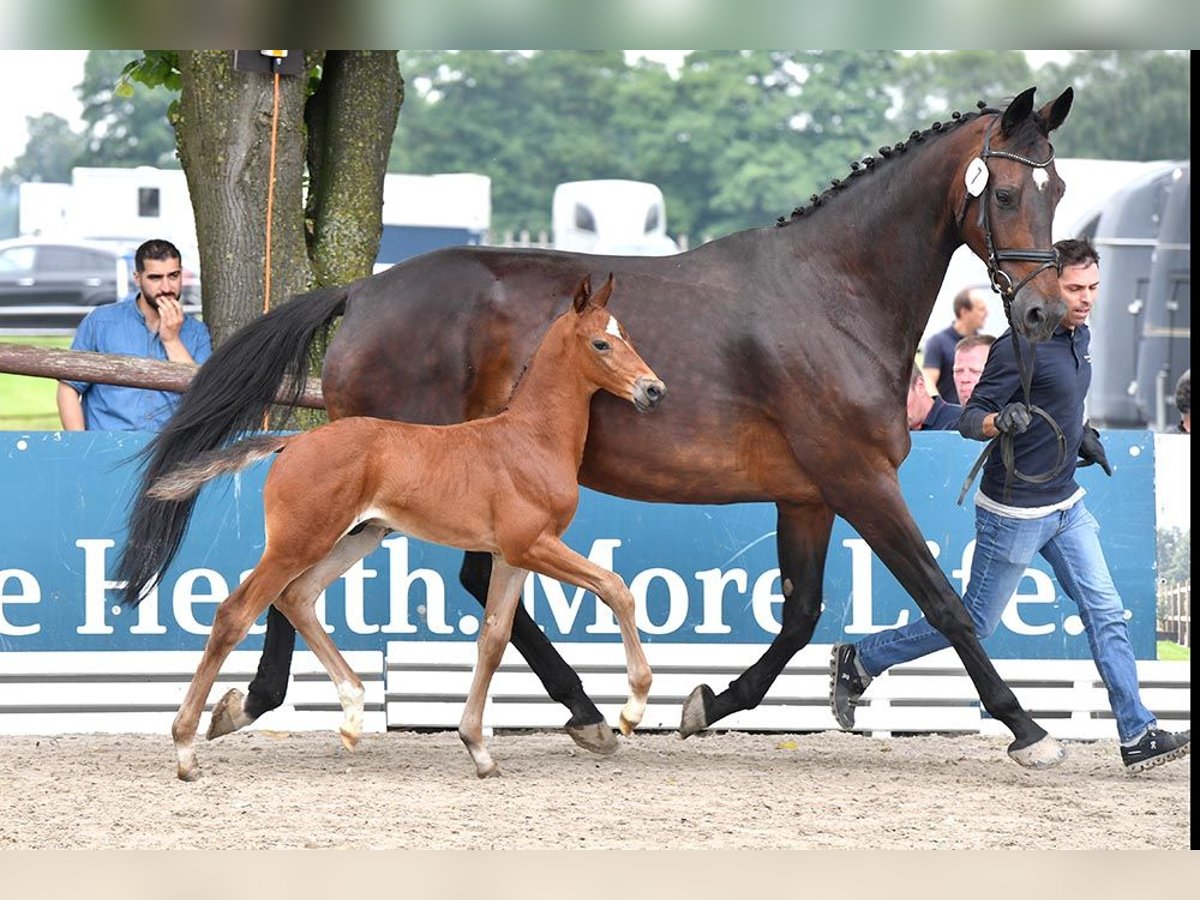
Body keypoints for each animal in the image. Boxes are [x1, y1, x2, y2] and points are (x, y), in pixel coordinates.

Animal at [144, 277, 667, 782]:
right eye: (601, 343)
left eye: (627, 334)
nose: (653, 389)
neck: (530, 438)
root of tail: (292, 442)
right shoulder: (533, 545)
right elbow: (615, 588)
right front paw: (632, 709)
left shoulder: (511, 556)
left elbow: (494, 639)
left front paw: (478, 749)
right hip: (298, 543)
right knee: (235, 613)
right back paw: (186, 749)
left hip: (356, 538)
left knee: (297, 598)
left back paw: (354, 712)